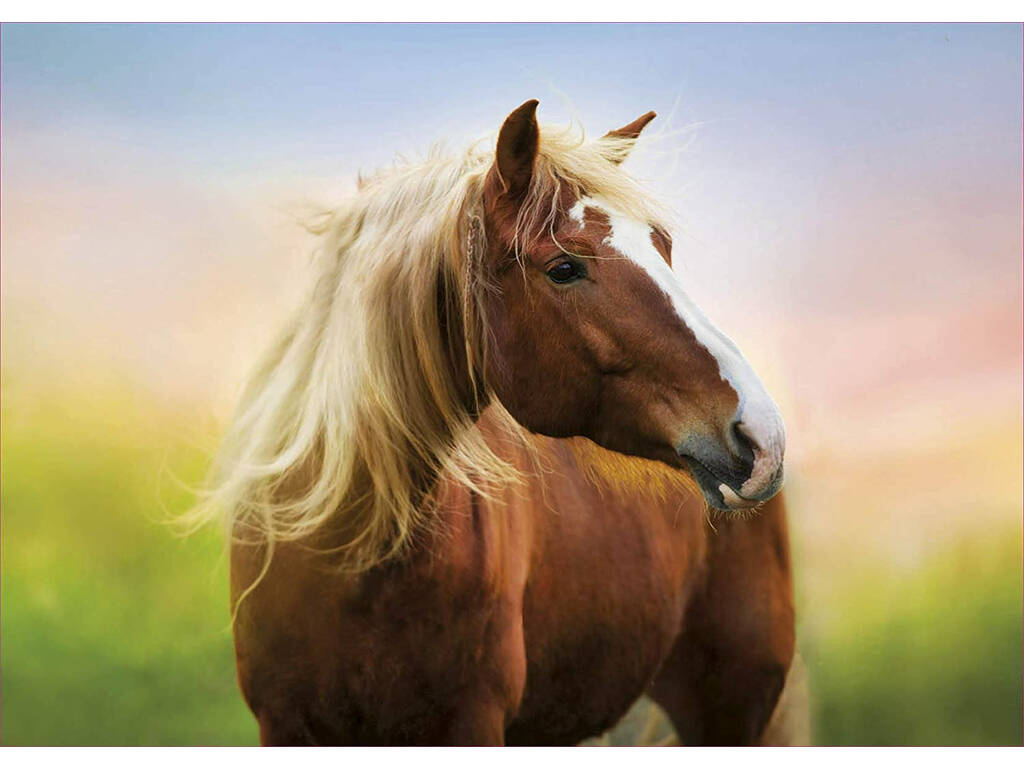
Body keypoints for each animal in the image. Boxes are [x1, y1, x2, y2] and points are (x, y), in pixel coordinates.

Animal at [198, 100, 798, 746]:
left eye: (662, 246)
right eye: (563, 268)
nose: (761, 434)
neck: (351, 559)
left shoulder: (471, 722)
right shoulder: (284, 723)